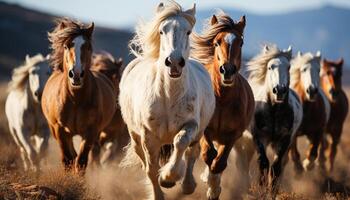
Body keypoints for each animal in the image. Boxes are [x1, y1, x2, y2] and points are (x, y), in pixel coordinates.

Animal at [42, 18, 116, 173]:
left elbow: (81, 161)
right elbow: (67, 160)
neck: (75, 100)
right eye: (66, 46)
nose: (75, 74)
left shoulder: (90, 132)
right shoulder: (60, 130)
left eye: (88, 47)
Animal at [119, 1, 215, 200]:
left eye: (188, 32)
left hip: (199, 132)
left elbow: (181, 143)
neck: (169, 95)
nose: (174, 61)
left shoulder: (191, 125)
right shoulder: (148, 136)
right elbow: (150, 169)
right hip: (135, 137)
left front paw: (169, 177)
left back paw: (187, 185)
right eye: (162, 31)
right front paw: (160, 189)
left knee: (191, 154)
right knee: (144, 162)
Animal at [191, 12, 254, 200]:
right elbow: (209, 154)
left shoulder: (233, 135)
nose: (227, 70)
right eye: (217, 42)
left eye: (241, 42)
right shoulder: (204, 130)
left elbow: (219, 162)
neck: (222, 99)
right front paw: (211, 183)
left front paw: (214, 189)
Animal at [245, 44, 302, 196]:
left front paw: (272, 191)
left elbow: (276, 167)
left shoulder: (284, 139)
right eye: (270, 67)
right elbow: (263, 162)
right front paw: (261, 188)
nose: (280, 90)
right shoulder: (259, 137)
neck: (274, 112)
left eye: (288, 67)